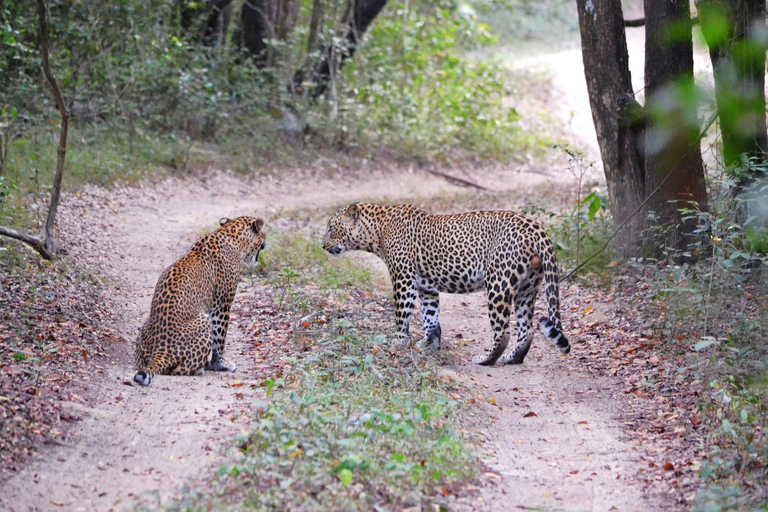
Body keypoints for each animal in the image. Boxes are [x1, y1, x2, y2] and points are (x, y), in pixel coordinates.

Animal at [130, 214, 266, 386]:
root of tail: (161, 349)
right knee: (177, 370)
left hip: (146, 331)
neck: (230, 236)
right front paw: (221, 364)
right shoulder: (222, 304)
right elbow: (219, 338)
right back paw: (200, 369)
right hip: (203, 319)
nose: (266, 239)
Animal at [320, 202, 568, 366]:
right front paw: (430, 346)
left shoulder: (403, 280)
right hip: (528, 287)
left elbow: (402, 316)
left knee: (503, 331)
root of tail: (536, 228)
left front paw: (397, 344)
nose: (322, 246)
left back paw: (486, 359)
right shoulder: (426, 287)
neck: (376, 231)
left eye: (331, 228)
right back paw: (512, 358)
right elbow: (431, 318)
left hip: (498, 283)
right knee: (527, 329)